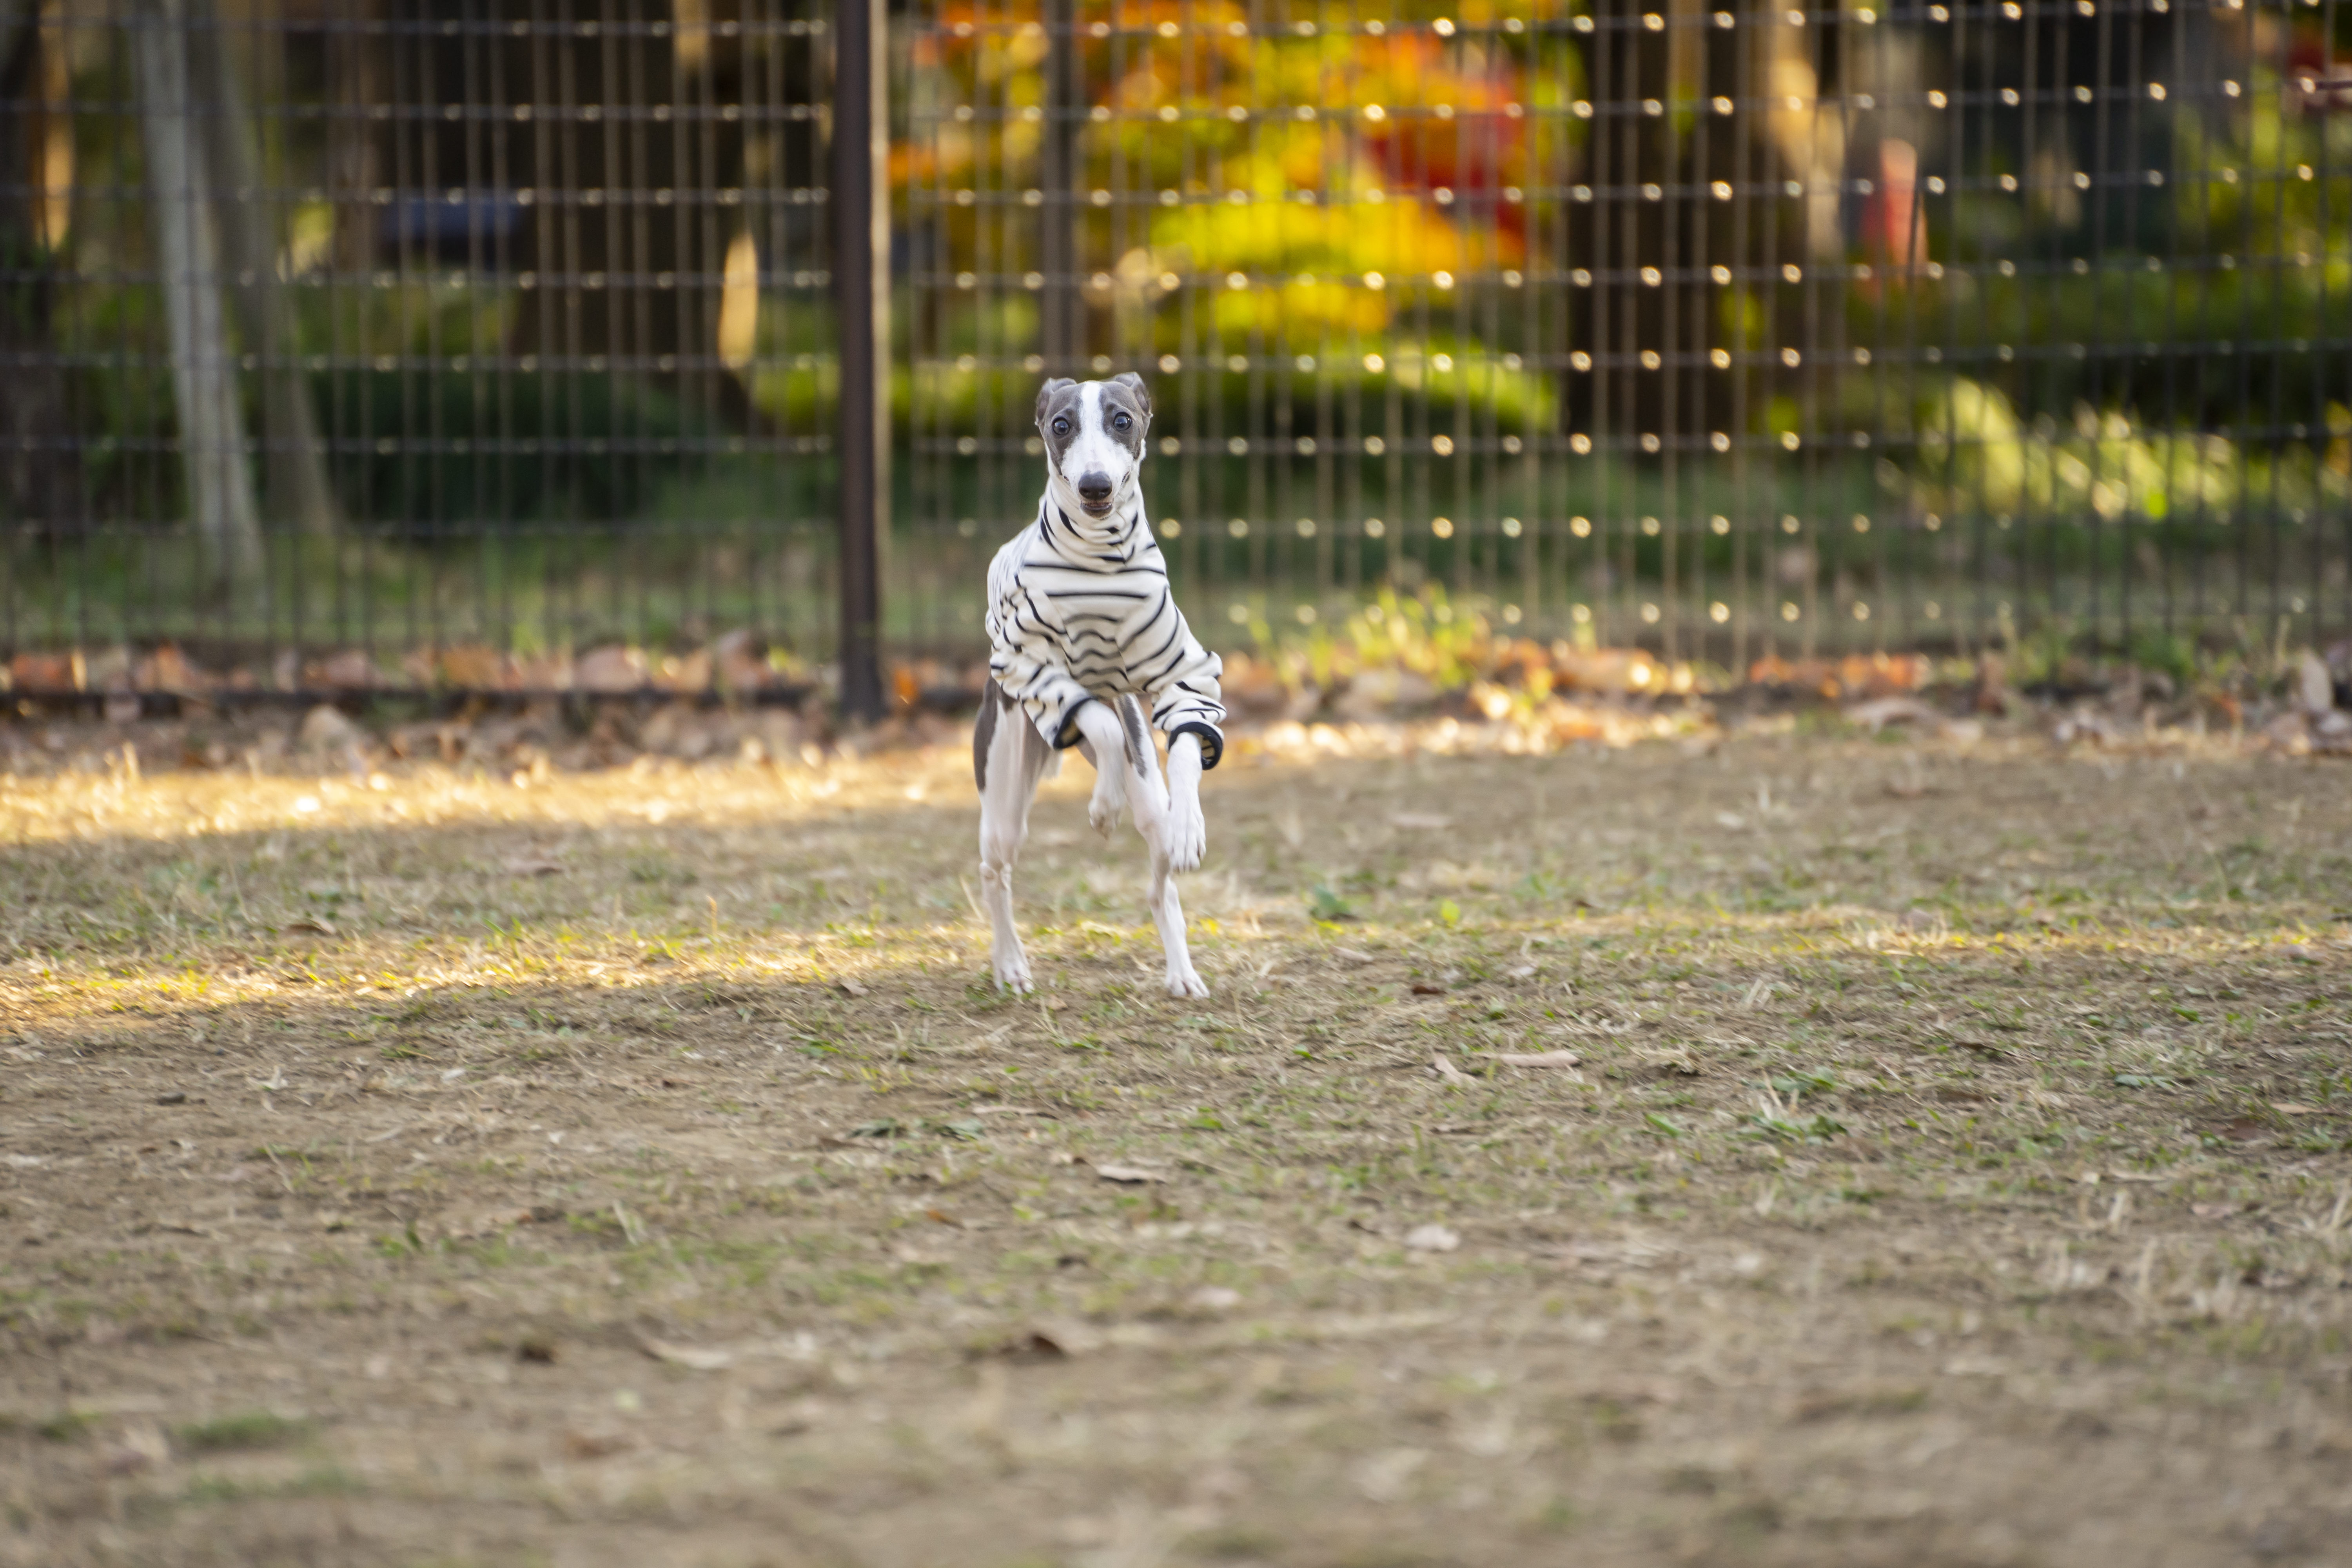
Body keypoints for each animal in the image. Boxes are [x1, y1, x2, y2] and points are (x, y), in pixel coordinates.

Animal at [974, 374, 1232, 1001]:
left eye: (1122, 420)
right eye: (1061, 424)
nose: (1095, 485)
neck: (1099, 560)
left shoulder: (1182, 672)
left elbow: (1187, 739)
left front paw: (1190, 826)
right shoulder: (1028, 665)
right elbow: (1096, 719)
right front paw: (1102, 806)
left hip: (1147, 804)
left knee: (1160, 883)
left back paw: (1181, 971)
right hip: (1004, 793)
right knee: (996, 871)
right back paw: (1010, 963)